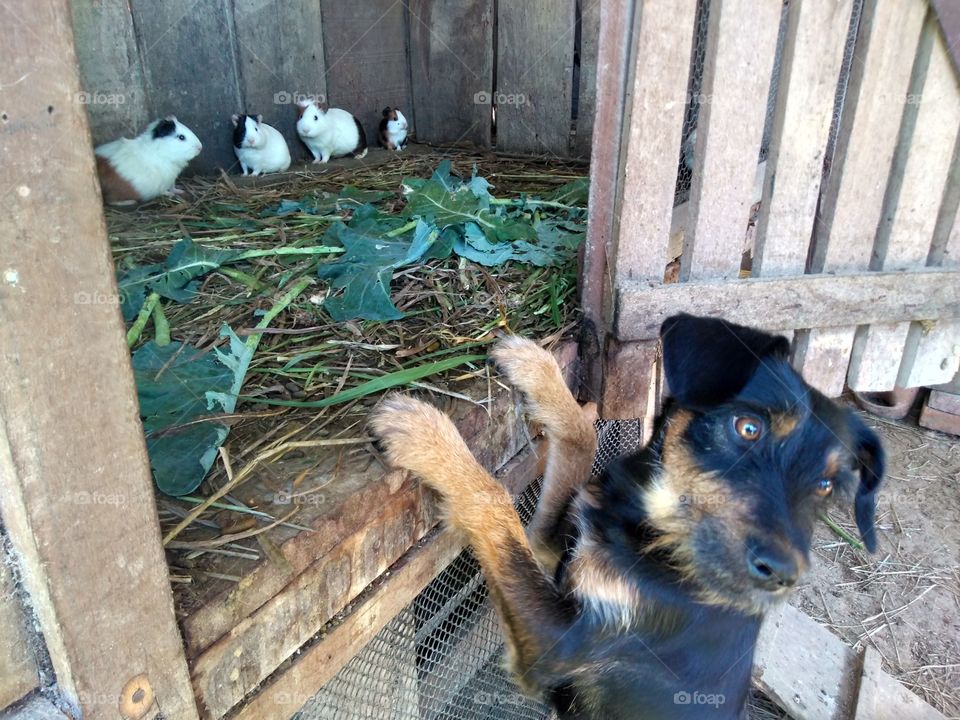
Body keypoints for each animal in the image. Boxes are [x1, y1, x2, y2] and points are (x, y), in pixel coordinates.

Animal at [370, 316, 884, 720]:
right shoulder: (553, 548)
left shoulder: (554, 643)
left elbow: (494, 498)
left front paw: (425, 436)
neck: (650, 535)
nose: (783, 574)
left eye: (825, 486)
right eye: (748, 427)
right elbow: (581, 435)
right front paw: (535, 367)